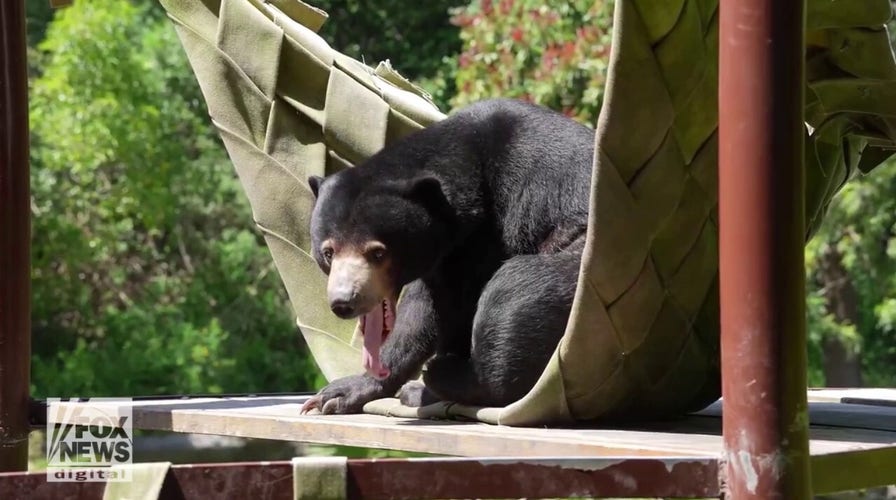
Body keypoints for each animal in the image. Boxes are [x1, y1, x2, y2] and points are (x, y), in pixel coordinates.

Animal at [299, 98, 595, 415]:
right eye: (328, 252)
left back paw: (441, 378)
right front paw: (344, 391)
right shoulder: (442, 249)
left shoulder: (487, 231)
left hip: (577, 257)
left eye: (377, 252)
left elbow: (450, 303)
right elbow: (423, 309)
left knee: (518, 288)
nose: (344, 302)